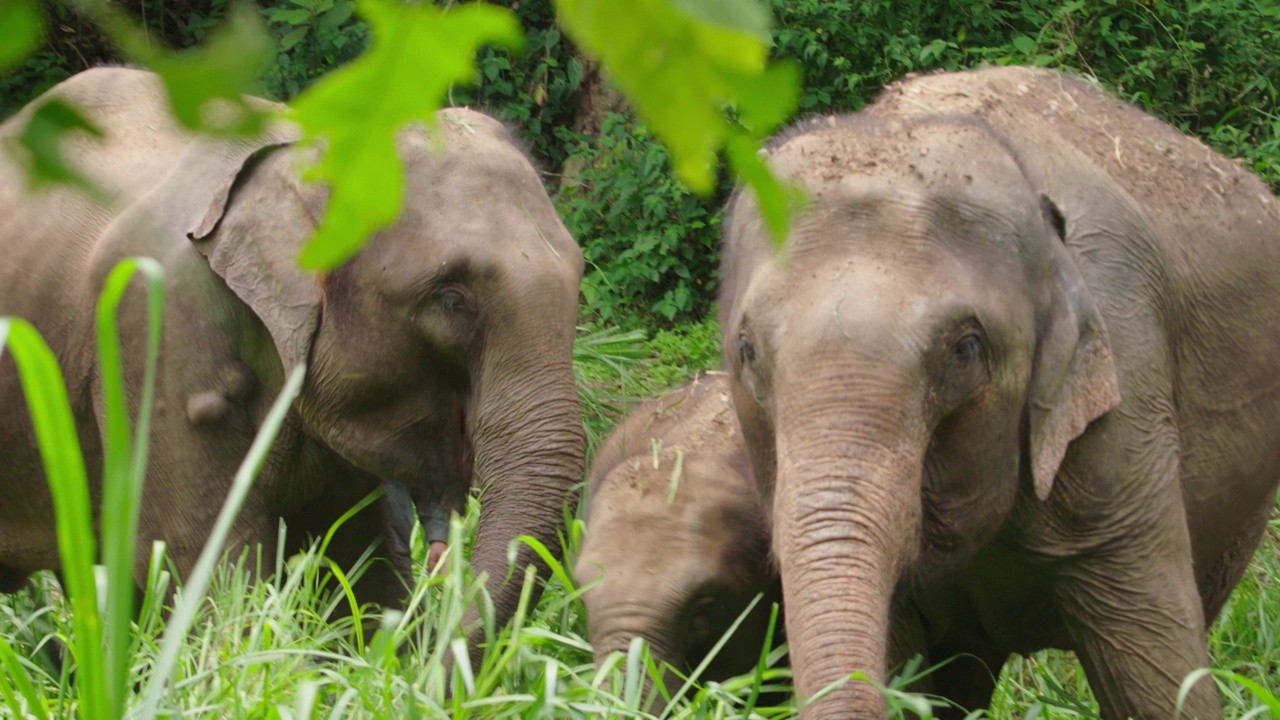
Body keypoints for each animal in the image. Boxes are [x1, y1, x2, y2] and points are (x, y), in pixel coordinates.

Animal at [0, 68, 586, 650]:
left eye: (579, 274)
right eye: (452, 298)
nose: (443, 590)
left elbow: (355, 561)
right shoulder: (155, 326)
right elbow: (201, 561)